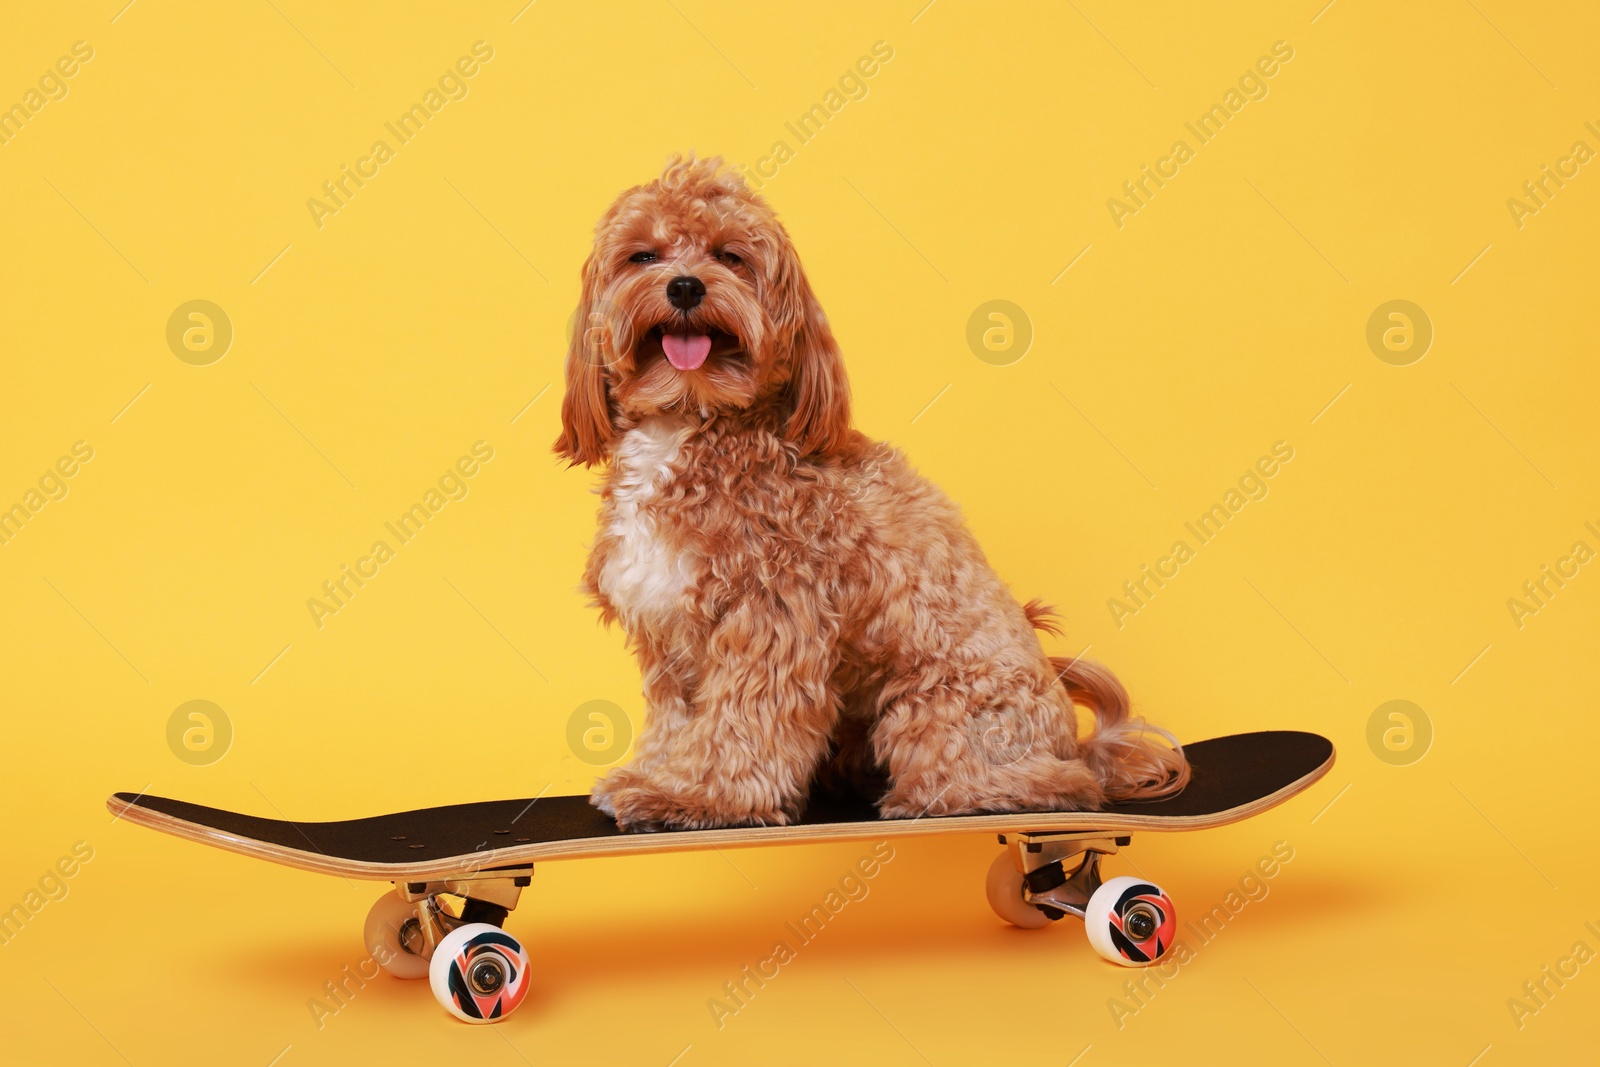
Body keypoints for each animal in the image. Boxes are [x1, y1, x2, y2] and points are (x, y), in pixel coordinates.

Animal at [553, 154, 1190, 831]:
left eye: (730, 257)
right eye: (642, 256)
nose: (684, 287)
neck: (690, 423)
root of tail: (1076, 744)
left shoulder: (773, 615)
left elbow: (743, 721)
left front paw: (703, 797)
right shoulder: (669, 628)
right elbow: (677, 718)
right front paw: (659, 776)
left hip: (936, 708)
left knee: (1048, 784)